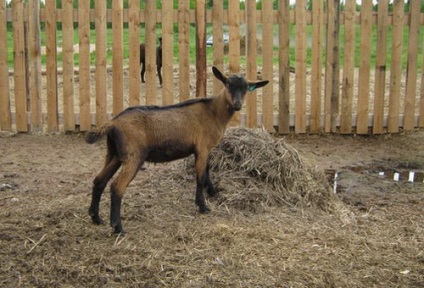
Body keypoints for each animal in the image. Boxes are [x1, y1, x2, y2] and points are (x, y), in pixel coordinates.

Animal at [84, 66, 268, 233]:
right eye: (228, 84)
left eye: (246, 88)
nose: (237, 105)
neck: (213, 111)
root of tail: (113, 123)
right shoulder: (202, 147)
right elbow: (200, 176)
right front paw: (203, 206)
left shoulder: (205, 150)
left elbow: (207, 170)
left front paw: (213, 193)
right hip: (133, 156)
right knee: (117, 187)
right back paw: (118, 227)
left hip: (114, 154)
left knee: (99, 180)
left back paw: (96, 218)